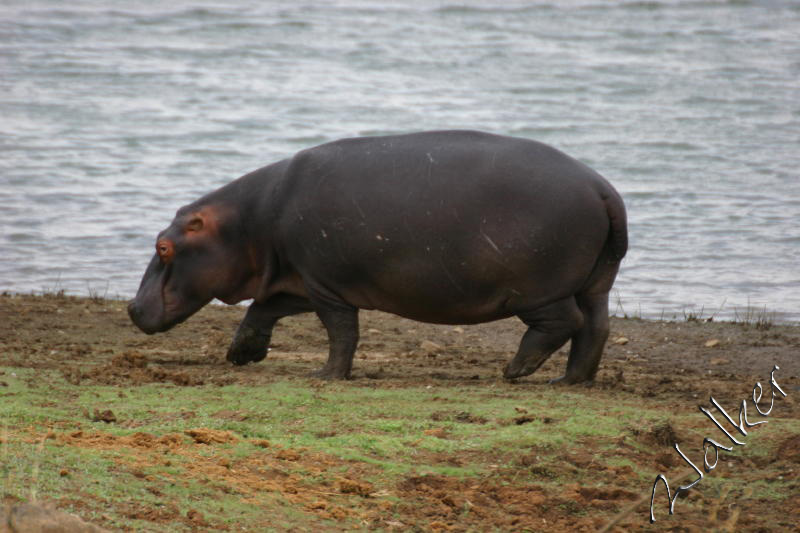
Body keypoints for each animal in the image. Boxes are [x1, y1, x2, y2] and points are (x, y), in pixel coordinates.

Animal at [128, 131, 628, 384]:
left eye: (163, 246)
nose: (131, 307)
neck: (248, 221)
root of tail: (602, 187)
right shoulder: (301, 278)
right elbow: (264, 308)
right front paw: (241, 355)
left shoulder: (323, 284)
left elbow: (341, 332)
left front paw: (325, 375)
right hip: (596, 282)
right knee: (596, 328)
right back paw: (569, 381)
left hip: (538, 289)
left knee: (564, 324)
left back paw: (514, 371)